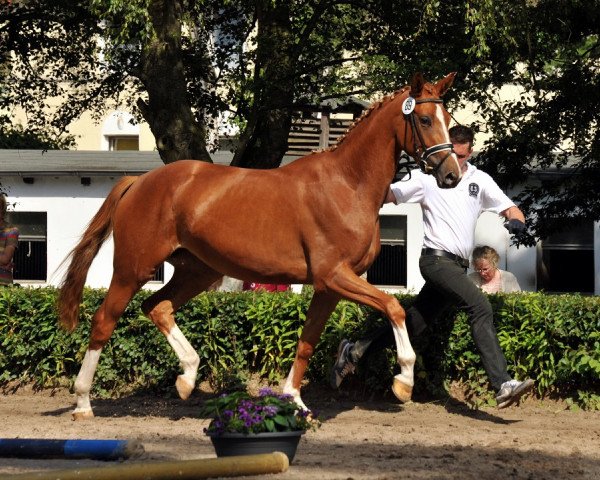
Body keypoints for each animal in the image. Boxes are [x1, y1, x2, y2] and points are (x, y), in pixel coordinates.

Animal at [57, 70, 460, 416]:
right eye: (425, 120)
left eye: (449, 117)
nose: (451, 174)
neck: (347, 185)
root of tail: (138, 182)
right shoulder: (334, 275)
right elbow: (393, 307)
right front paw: (403, 380)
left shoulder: (329, 286)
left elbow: (308, 340)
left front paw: (294, 400)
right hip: (133, 268)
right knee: (104, 321)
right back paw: (83, 402)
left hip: (196, 271)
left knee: (157, 307)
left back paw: (187, 377)